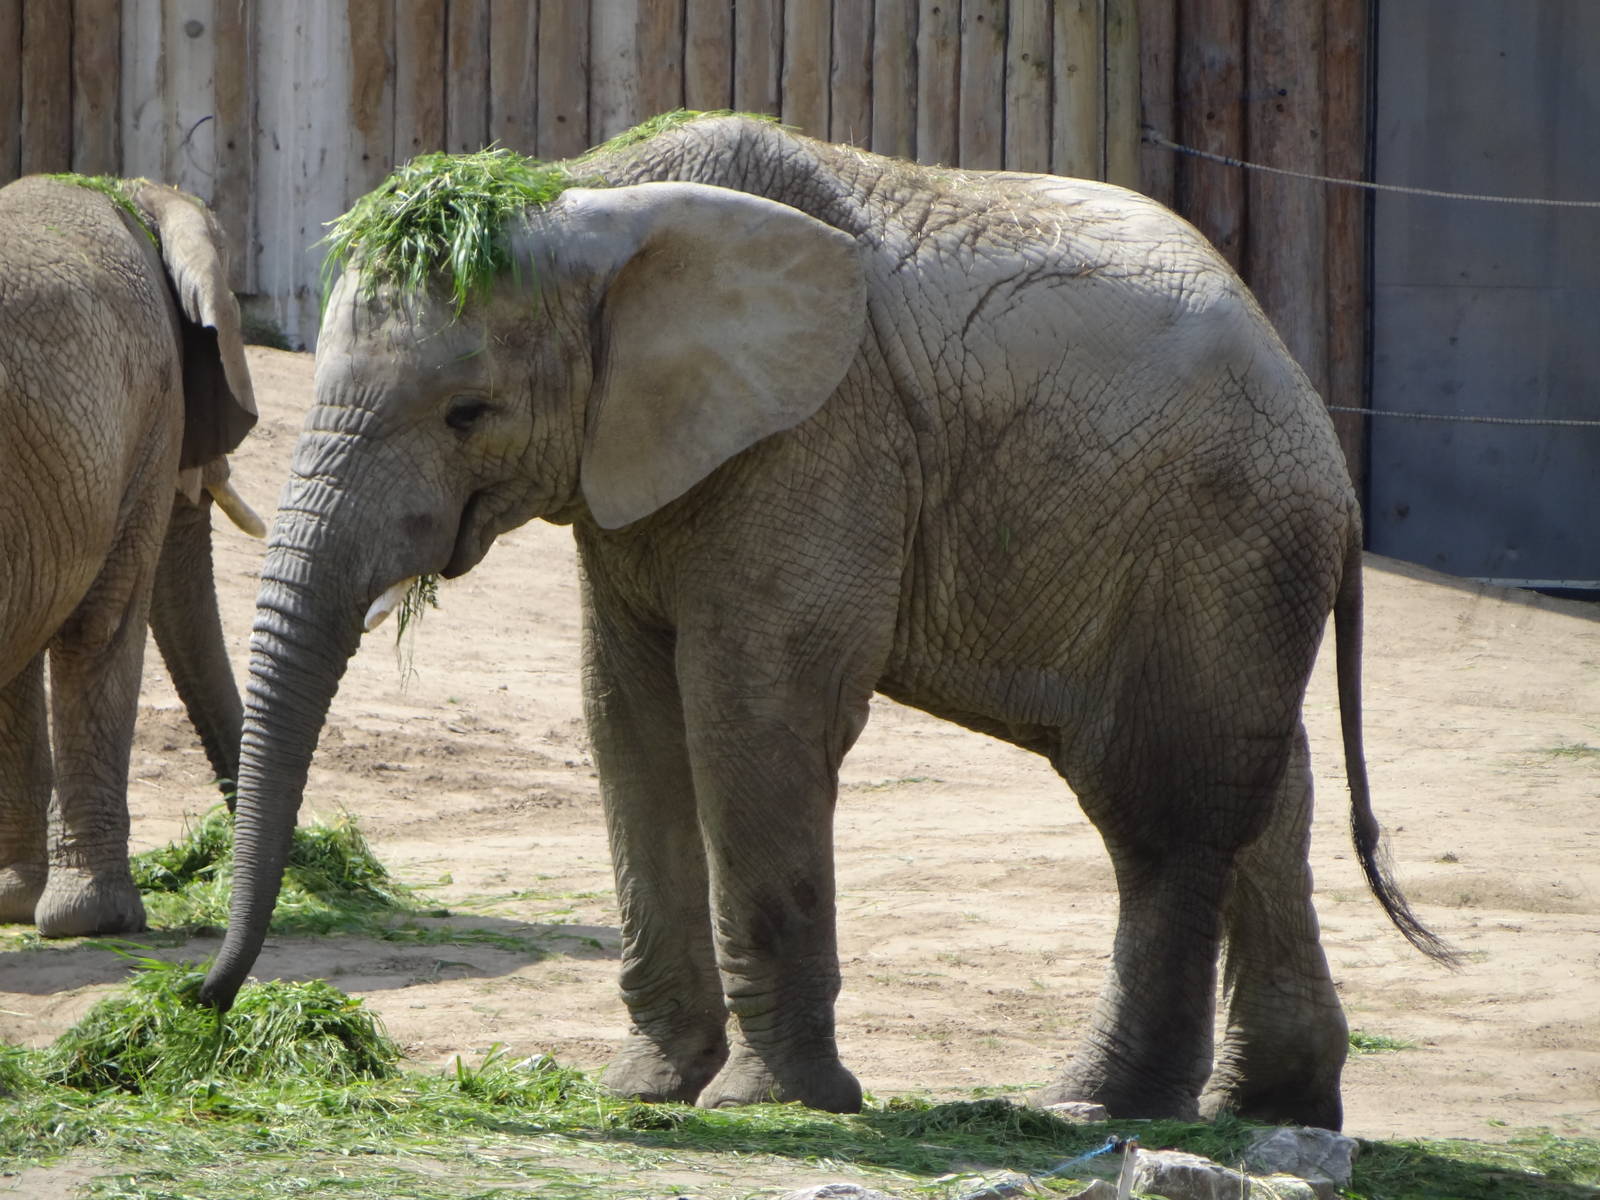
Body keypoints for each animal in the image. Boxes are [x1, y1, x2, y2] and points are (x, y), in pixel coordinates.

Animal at [197, 114, 1451, 1127]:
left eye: (469, 413)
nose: (204, 999)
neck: (594, 192)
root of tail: (1323, 436)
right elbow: (626, 716)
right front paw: (645, 1092)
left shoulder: (815, 441)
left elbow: (753, 713)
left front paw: (773, 1106)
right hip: (1231, 574)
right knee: (1267, 794)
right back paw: (1269, 1108)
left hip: (1214, 541)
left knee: (1163, 813)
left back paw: (1097, 1106)